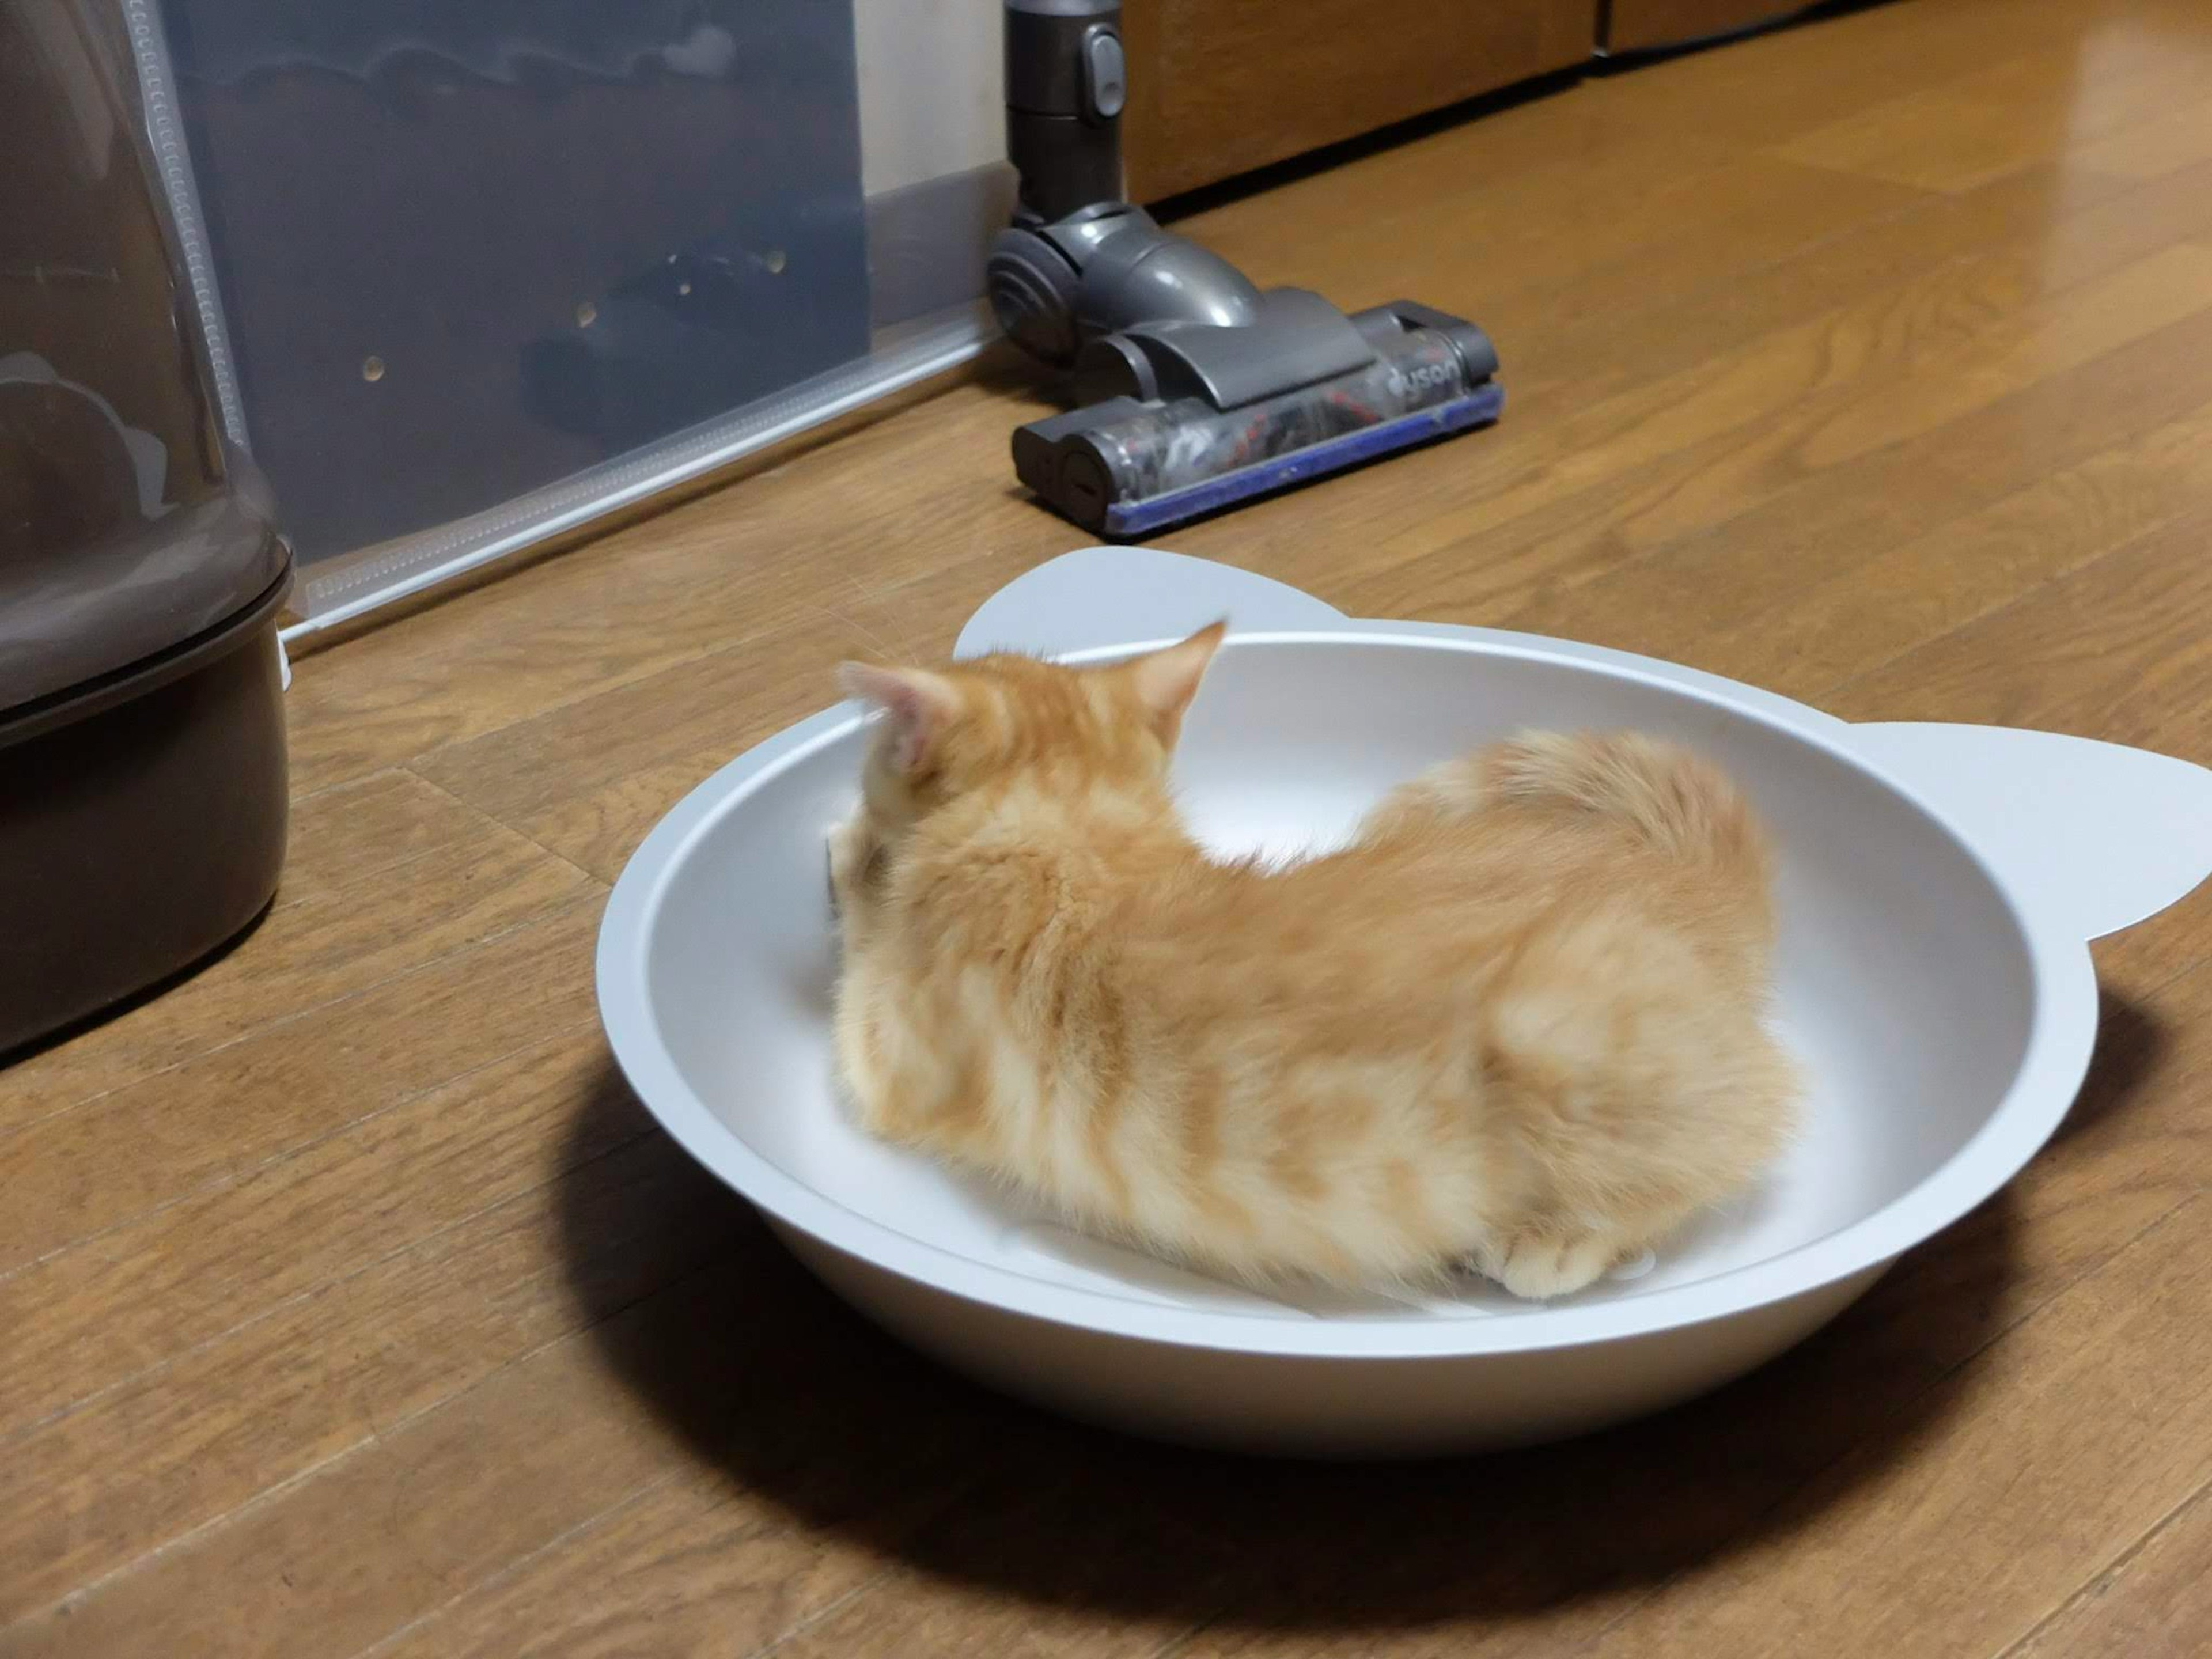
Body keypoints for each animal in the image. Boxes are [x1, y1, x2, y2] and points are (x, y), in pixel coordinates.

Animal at [831, 628, 1796, 1309]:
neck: (1070, 837)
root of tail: (1688, 887)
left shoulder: (887, 1059)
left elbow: (857, 952)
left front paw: (851, 850)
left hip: (1562, 1032)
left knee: (1737, 1139)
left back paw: (1556, 1240)